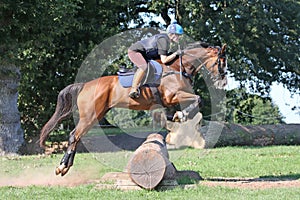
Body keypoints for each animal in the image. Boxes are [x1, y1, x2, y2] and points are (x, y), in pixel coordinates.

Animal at [39, 41, 227, 175]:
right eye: (221, 62)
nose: (223, 83)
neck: (176, 68)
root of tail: (85, 85)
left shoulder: (168, 102)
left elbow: (182, 110)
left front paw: (177, 121)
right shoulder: (173, 96)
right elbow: (198, 99)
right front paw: (180, 116)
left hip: (97, 115)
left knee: (76, 137)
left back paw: (65, 166)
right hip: (90, 116)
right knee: (74, 136)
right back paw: (62, 167)